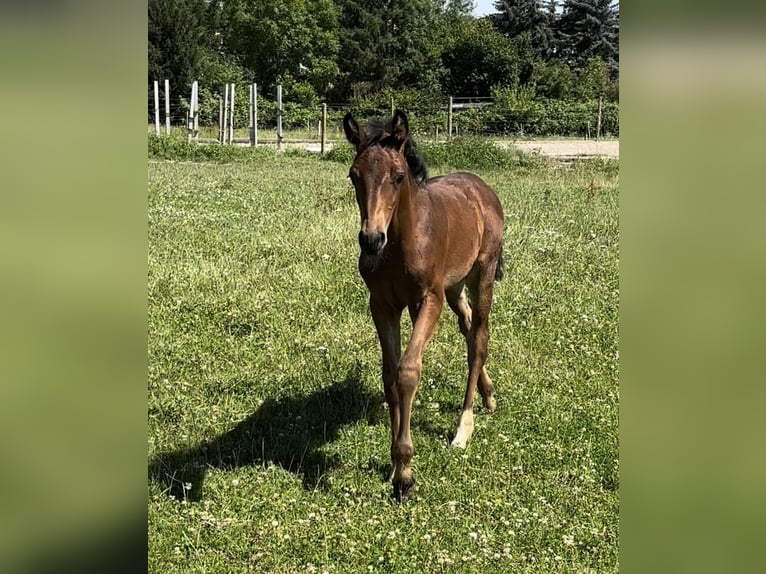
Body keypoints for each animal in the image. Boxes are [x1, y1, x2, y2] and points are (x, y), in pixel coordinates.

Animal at [344, 110, 508, 502]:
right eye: (354, 175)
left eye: (398, 176)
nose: (371, 240)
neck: (400, 242)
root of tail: (481, 187)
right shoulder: (382, 305)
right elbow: (389, 376)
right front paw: (393, 467)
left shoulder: (426, 301)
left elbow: (407, 372)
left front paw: (405, 474)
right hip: (454, 287)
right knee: (467, 327)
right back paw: (489, 395)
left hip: (481, 275)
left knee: (479, 339)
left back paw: (464, 427)